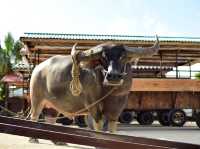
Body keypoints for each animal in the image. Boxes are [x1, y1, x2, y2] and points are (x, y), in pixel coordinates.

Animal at [28, 35, 159, 134]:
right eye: (103, 57)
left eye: (123, 57)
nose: (113, 75)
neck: (109, 91)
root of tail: (37, 69)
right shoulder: (92, 104)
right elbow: (98, 125)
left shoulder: (119, 105)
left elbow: (112, 127)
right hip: (36, 99)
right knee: (34, 116)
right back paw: (34, 138)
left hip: (53, 105)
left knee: (51, 119)